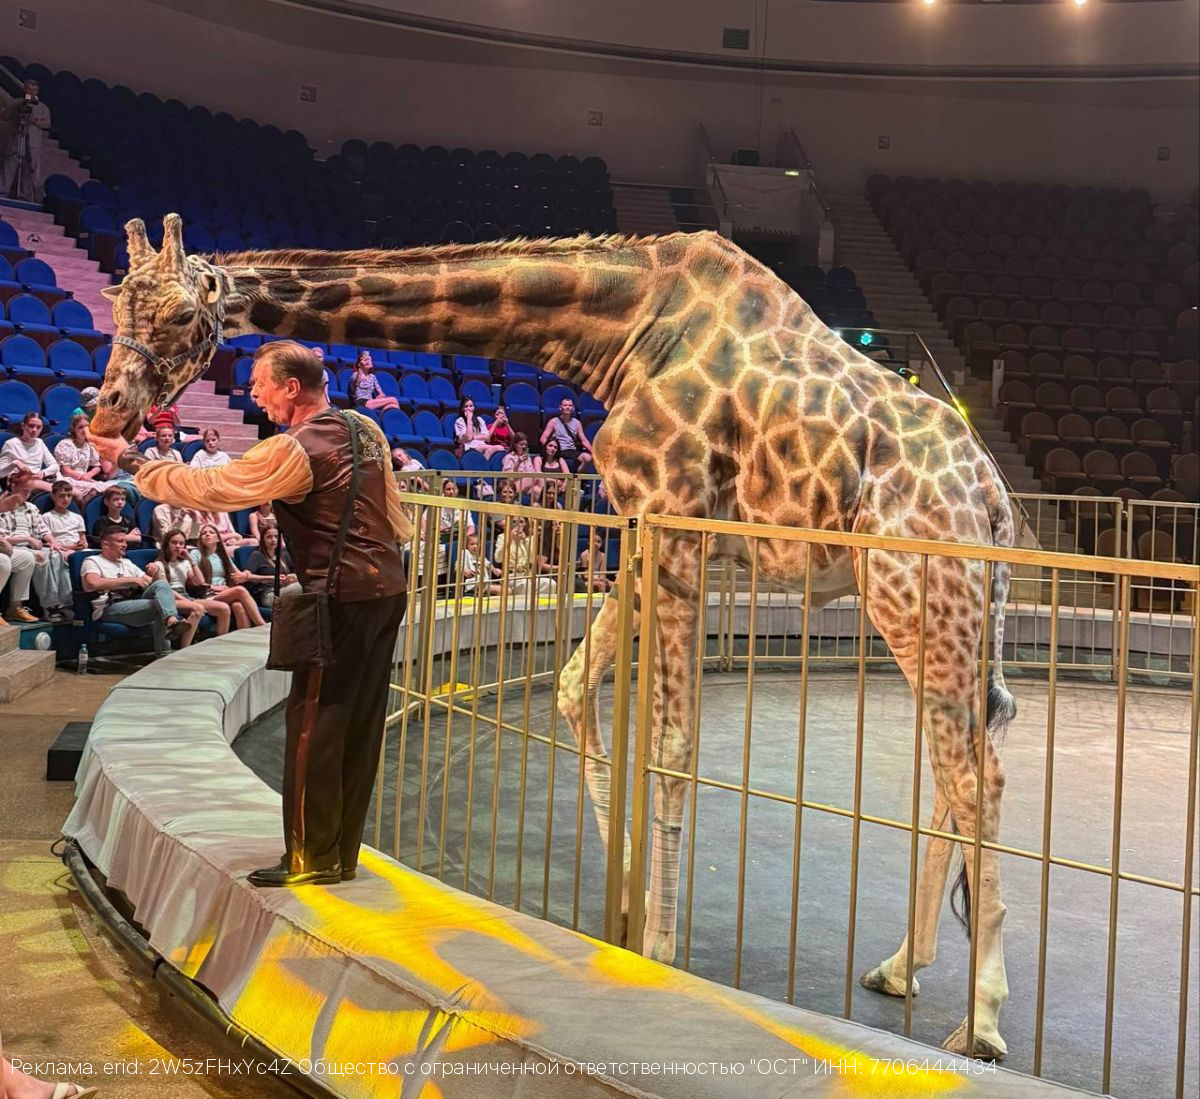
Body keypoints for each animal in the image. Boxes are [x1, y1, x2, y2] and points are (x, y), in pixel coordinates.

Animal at [93, 215, 1017, 1060]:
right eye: (115, 302)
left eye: (183, 314)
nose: (107, 415)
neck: (622, 330)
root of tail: (994, 498)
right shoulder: (640, 528)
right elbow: (576, 687)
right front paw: (623, 914)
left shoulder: (673, 522)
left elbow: (672, 744)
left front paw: (660, 945)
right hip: (931, 604)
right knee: (961, 762)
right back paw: (901, 965)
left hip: (917, 591)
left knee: (978, 778)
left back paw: (982, 1020)